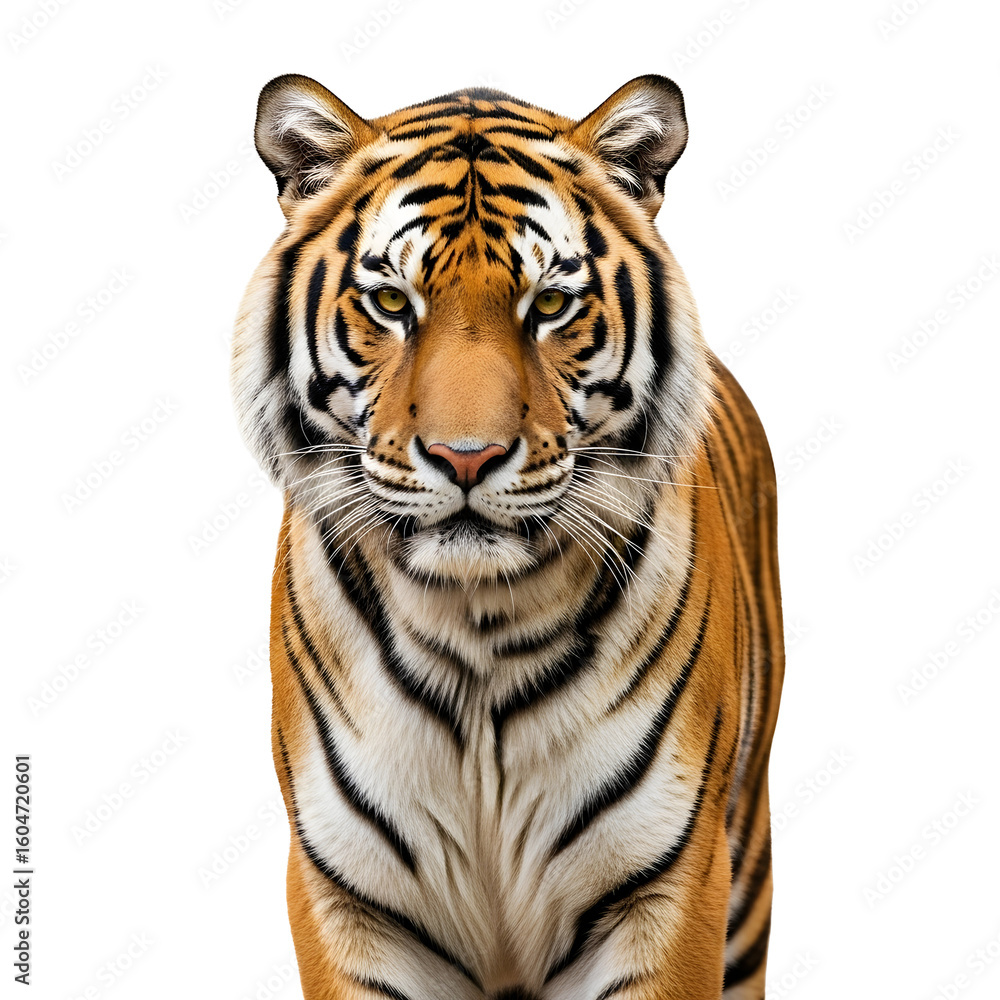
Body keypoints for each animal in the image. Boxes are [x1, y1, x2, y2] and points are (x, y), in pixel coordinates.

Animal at [231, 72, 784, 1000]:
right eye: (392, 302)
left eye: (550, 305)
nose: (468, 456)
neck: (477, 622)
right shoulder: (347, 895)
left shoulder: (669, 886)